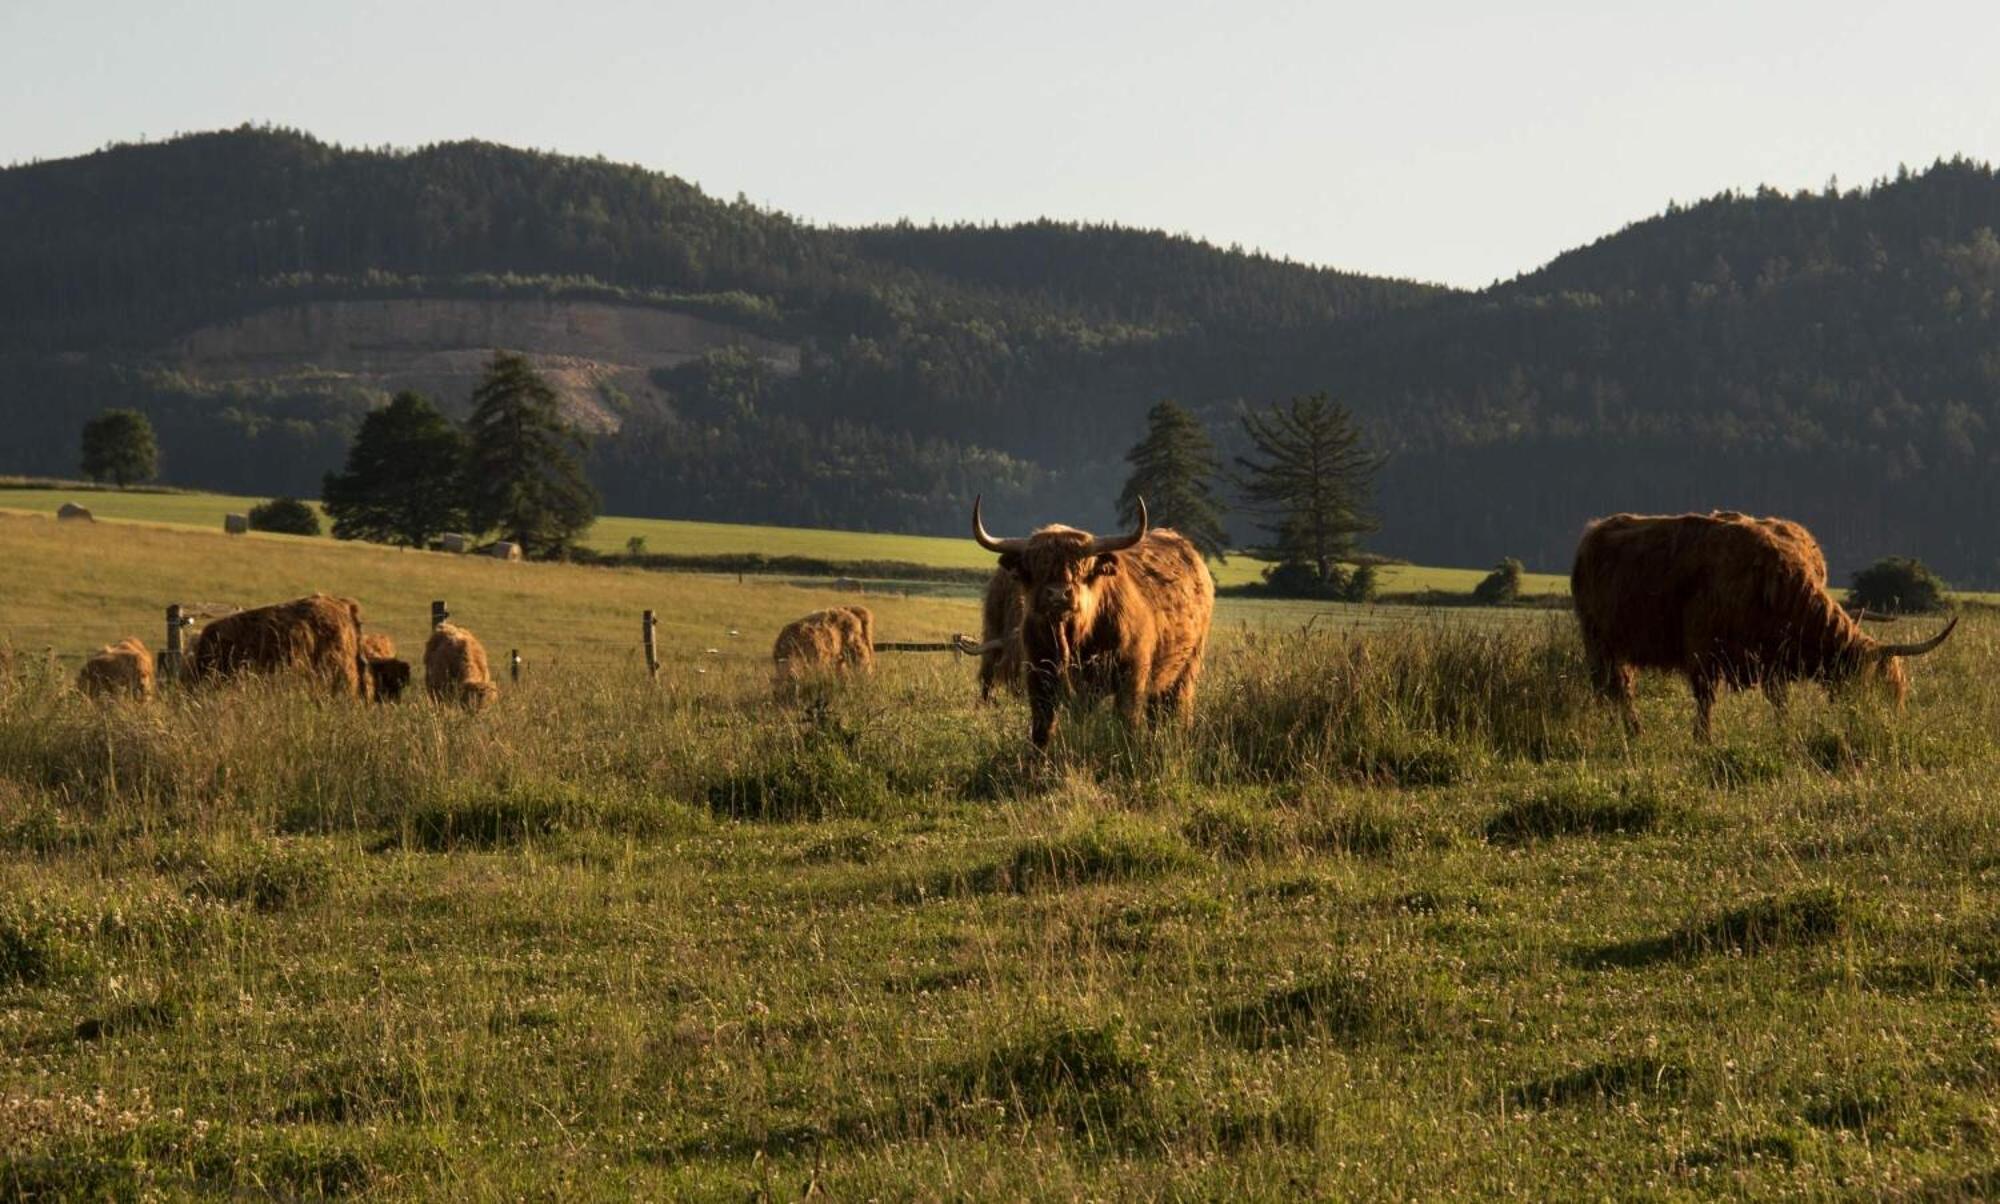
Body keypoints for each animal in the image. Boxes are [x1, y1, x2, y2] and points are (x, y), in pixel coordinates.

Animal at [972, 494, 1216, 740]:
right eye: (1038, 569)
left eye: (1081, 569)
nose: (1058, 594)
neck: (1072, 640)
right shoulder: (1039, 678)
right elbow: (1042, 729)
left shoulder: (1132, 677)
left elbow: (1125, 722)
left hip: (1187, 667)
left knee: (1176, 707)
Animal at [1560, 510, 1952, 736]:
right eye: (1880, 690)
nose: (1888, 728)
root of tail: (1594, 532)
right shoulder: (1703, 649)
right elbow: (1706, 699)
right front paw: (1703, 739)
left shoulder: (1772, 659)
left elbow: (1779, 700)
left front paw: (1783, 733)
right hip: (1598, 640)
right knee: (1614, 687)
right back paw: (1630, 730)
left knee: (1617, 686)